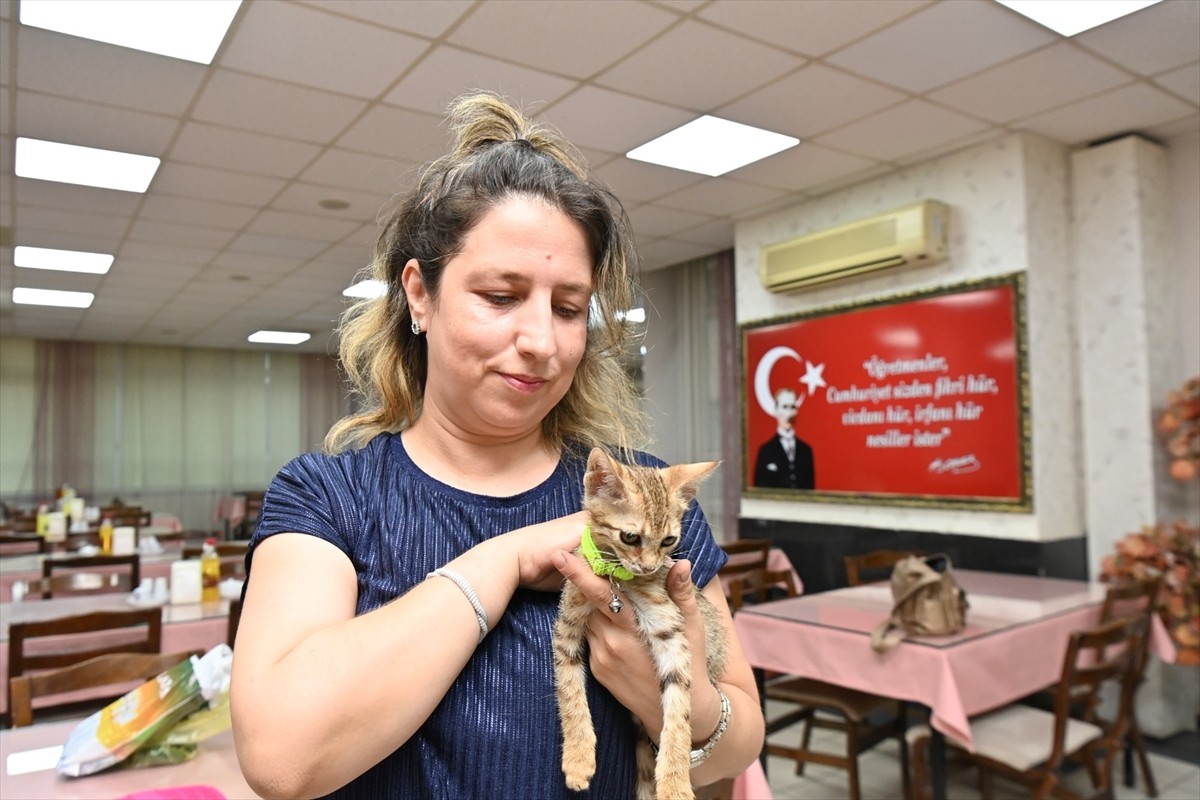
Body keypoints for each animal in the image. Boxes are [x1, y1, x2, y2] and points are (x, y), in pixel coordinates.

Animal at [549, 448, 720, 800]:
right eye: (630, 537)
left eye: (668, 540)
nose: (650, 567)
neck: (619, 580)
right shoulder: (566, 626)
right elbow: (569, 693)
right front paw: (578, 756)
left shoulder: (671, 634)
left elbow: (679, 710)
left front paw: (674, 782)